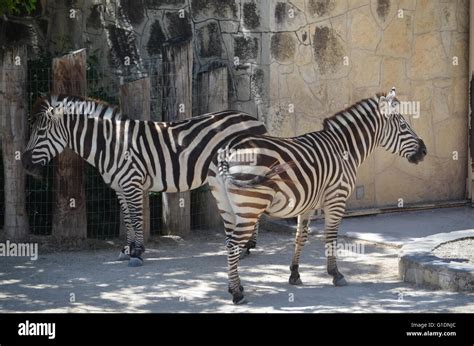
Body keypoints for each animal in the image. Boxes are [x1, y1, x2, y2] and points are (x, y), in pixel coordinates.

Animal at [22, 94, 266, 268]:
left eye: (41, 132)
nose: (23, 164)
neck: (111, 144)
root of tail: (255, 120)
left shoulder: (132, 183)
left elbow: (137, 219)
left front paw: (137, 253)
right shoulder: (120, 187)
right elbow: (128, 219)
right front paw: (127, 249)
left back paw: (244, 248)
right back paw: (245, 248)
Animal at [207, 88, 426, 304]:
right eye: (404, 126)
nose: (424, 151)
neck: (344, 149)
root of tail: (228, 150)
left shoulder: (307, 204)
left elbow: (300, 237)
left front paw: (295, 274)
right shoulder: (336, 199)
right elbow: (331, 237)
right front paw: (336, 274)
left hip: (226, 206)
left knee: (229, 243)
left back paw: (234, 286)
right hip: (250, 206)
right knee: (234, 244)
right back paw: (237, 293)